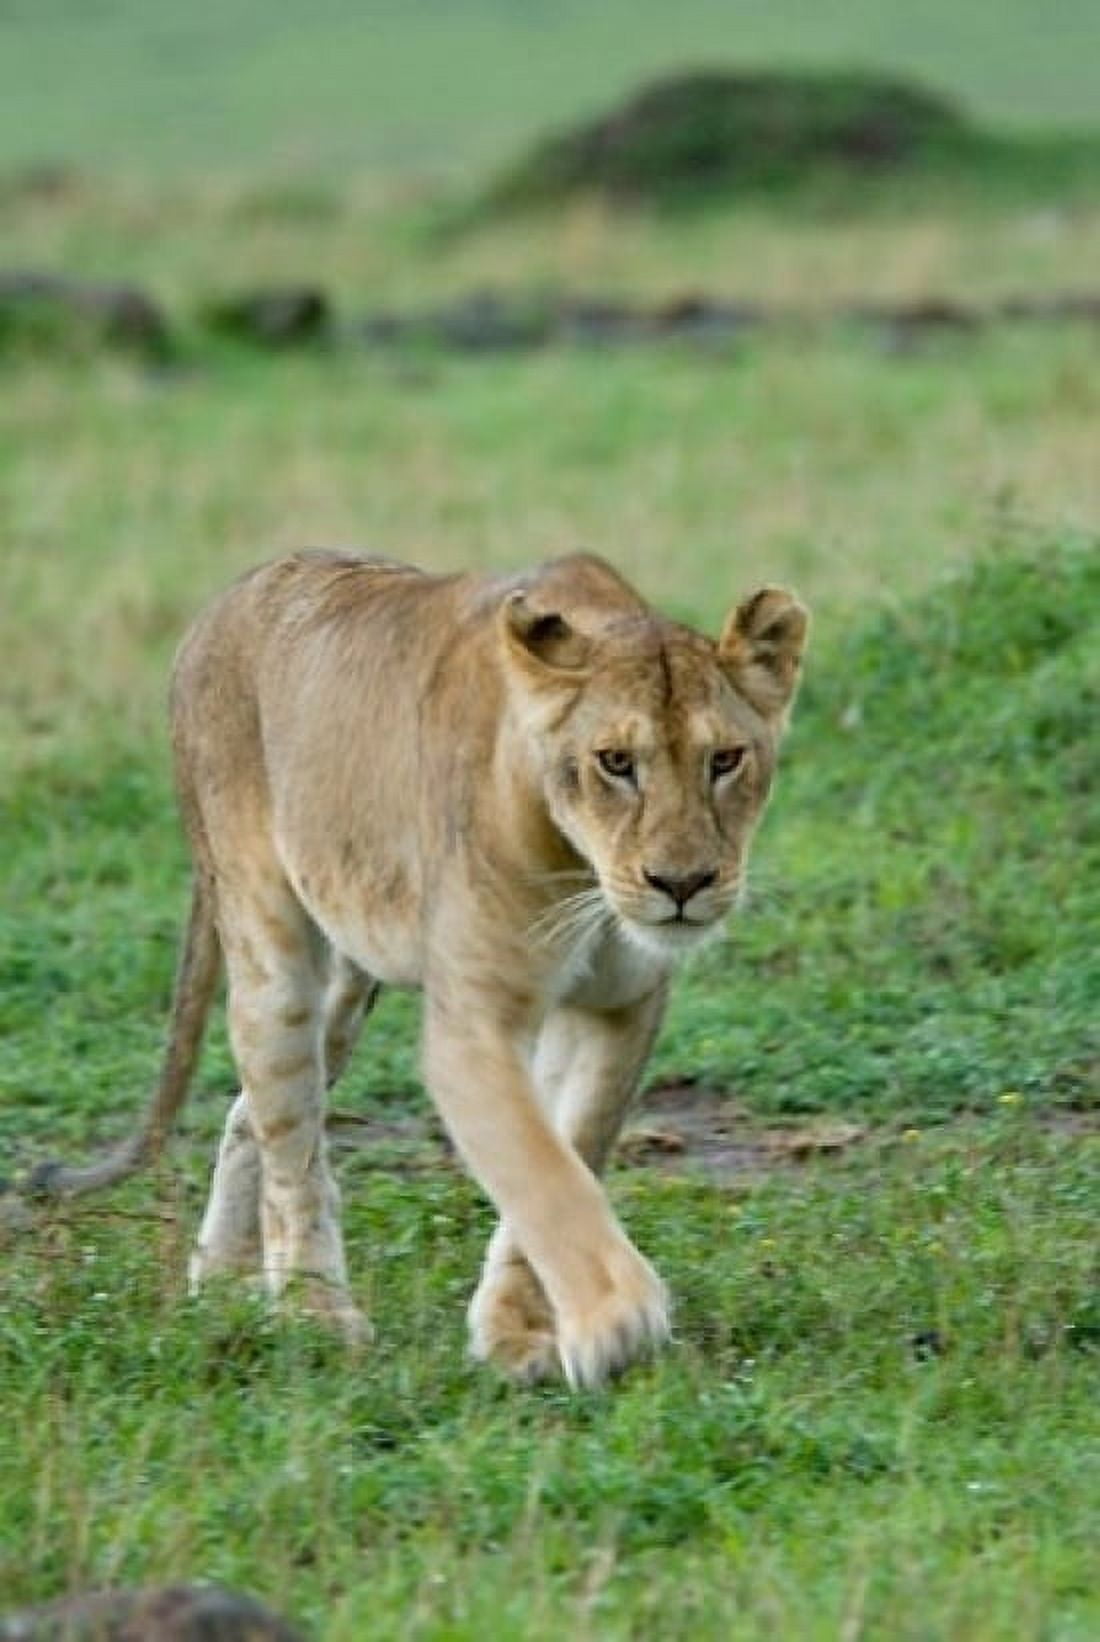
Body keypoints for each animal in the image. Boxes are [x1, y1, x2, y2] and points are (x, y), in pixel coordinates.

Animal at [28, 550, 807, 1388]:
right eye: (615, 763)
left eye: (724, 760)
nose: (683, 884)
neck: (584, 874)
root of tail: (234, 591)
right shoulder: (474, 1022)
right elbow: (543, 1171)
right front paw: (617, 1320)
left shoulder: (619, 1009)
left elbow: (571, 1147)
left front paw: (517, 1332)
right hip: (271, 947)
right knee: (291, 1142)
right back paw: (311, 1312)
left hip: (347, 978)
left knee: (249, 1116)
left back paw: (224, 1285)